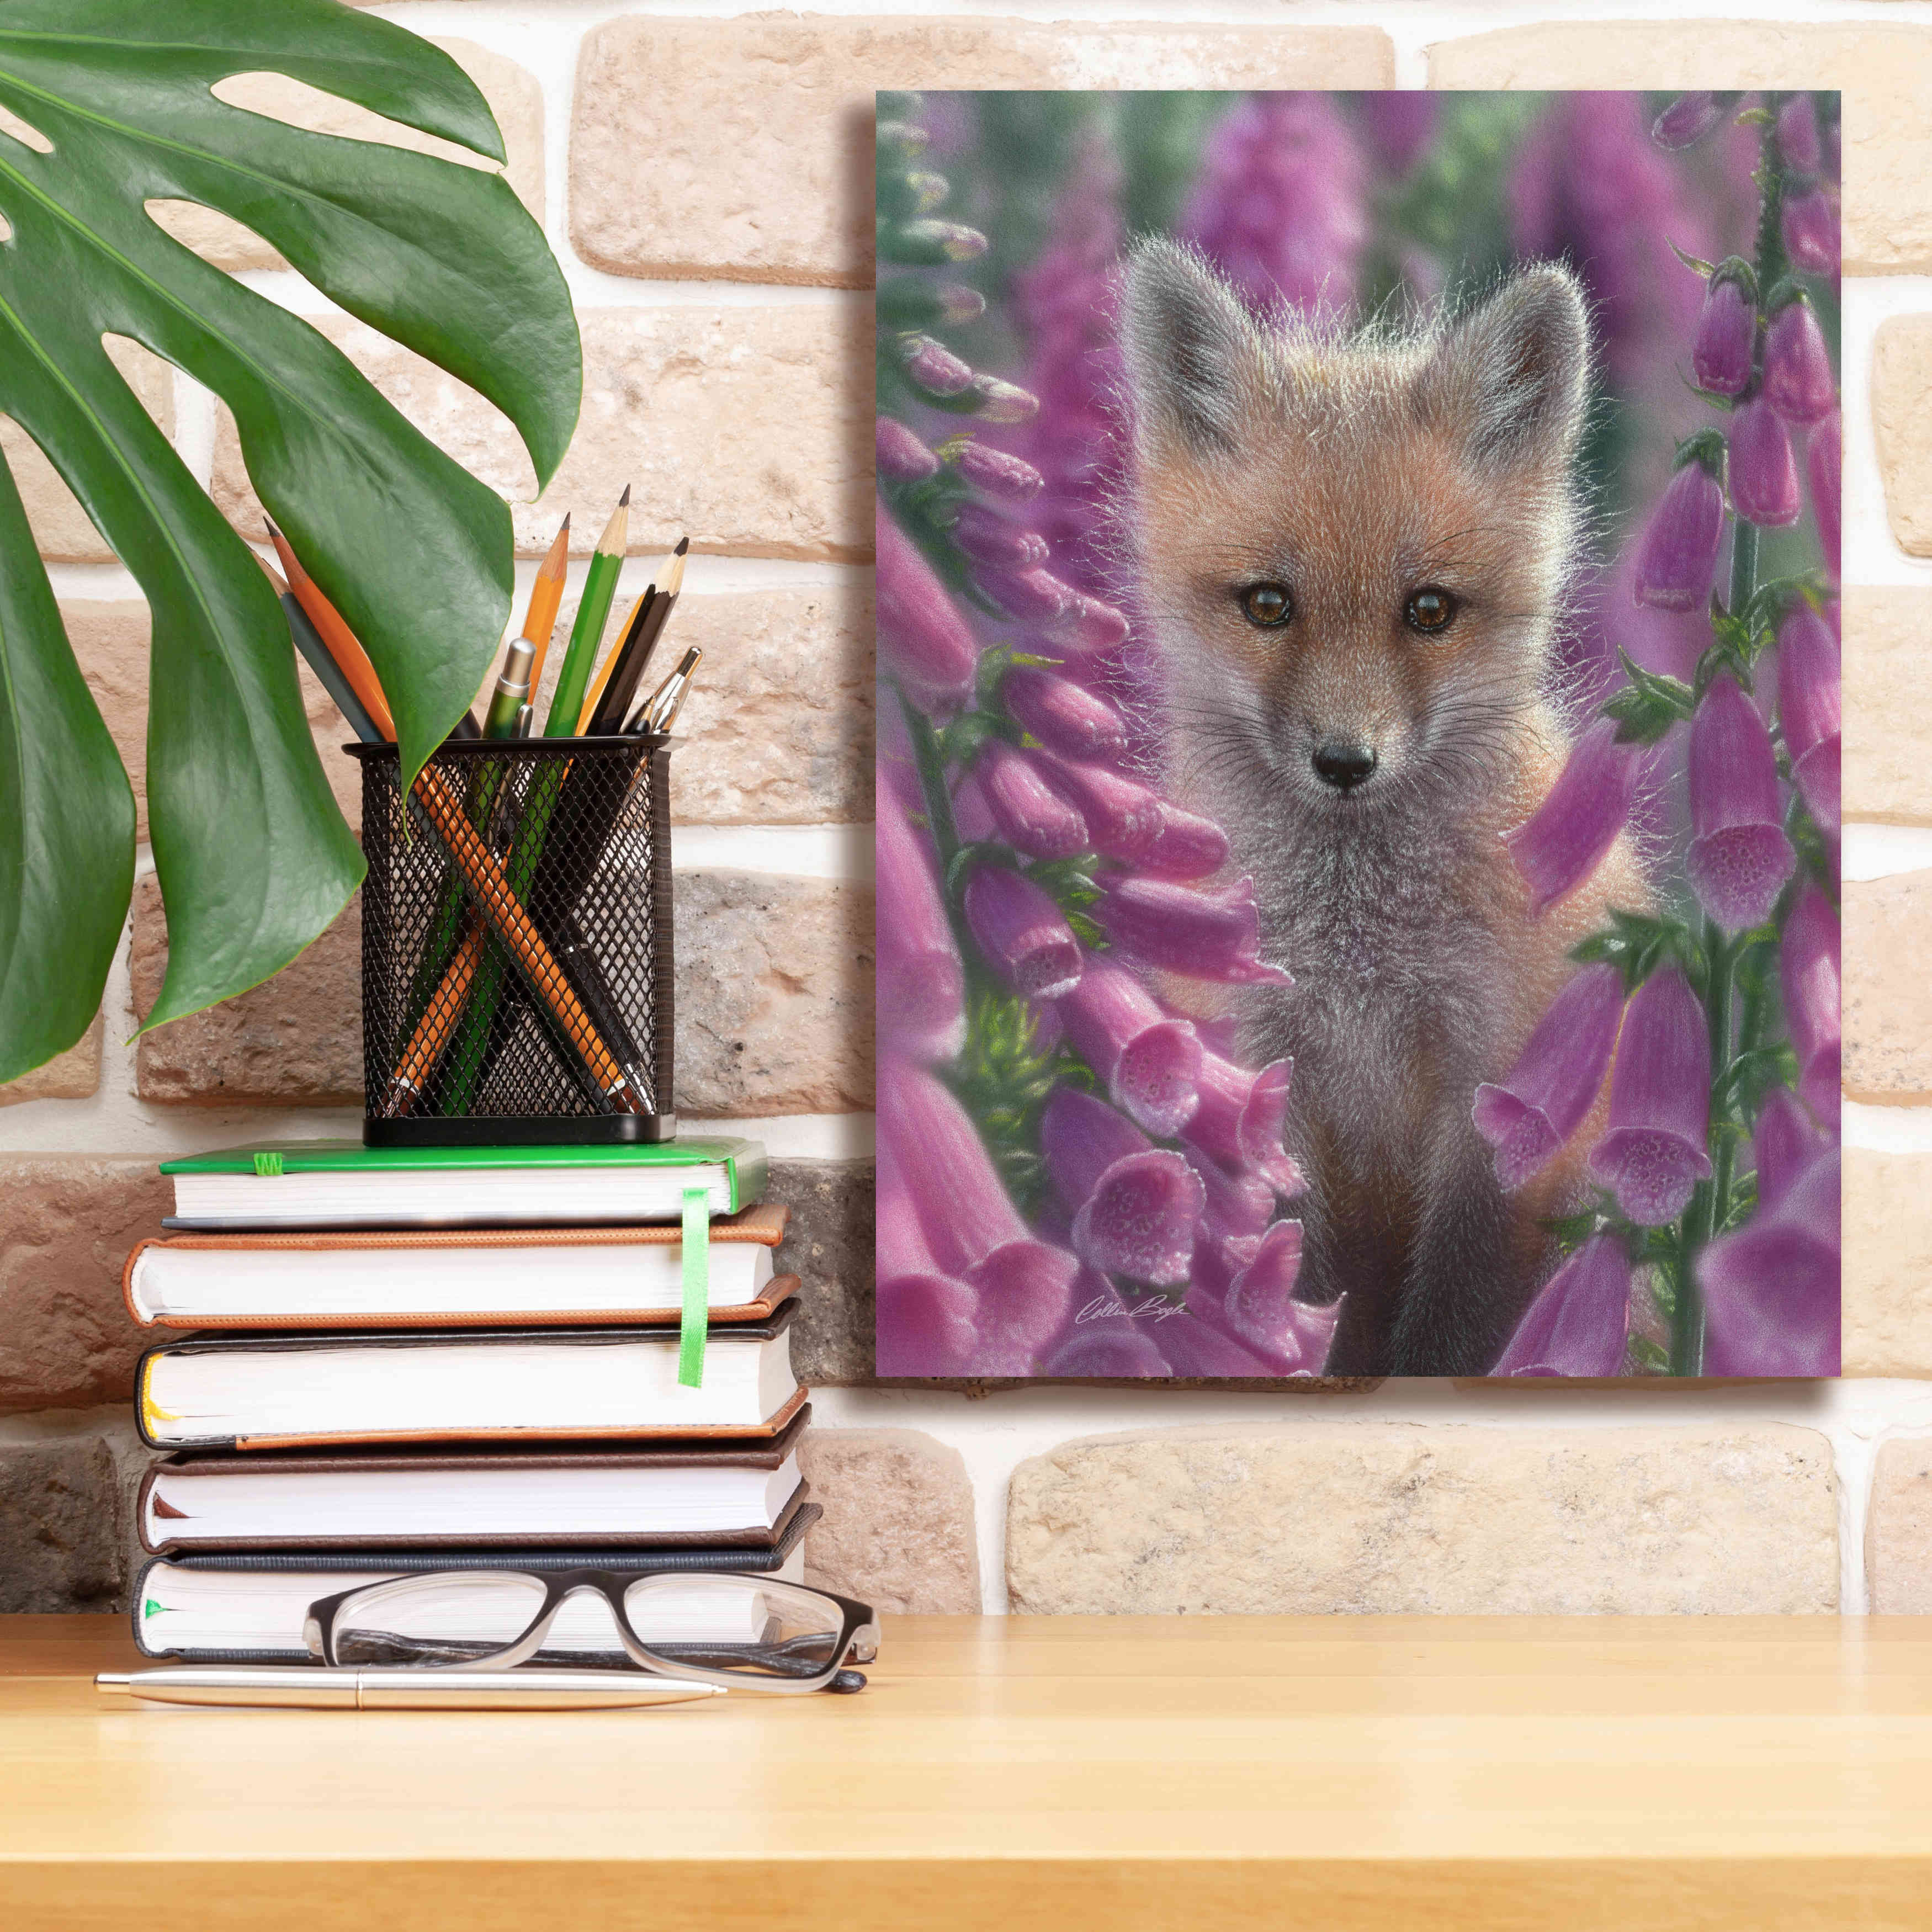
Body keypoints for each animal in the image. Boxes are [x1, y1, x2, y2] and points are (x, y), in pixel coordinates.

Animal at [1117, 241, 1648, 1377]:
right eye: (1269, 605)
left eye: (1430, 610)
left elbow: (1454, 1320)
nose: (1345, 762)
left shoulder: (1499, 1094)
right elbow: (1292, 1283)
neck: (1359, 961)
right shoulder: (1261, 1077)